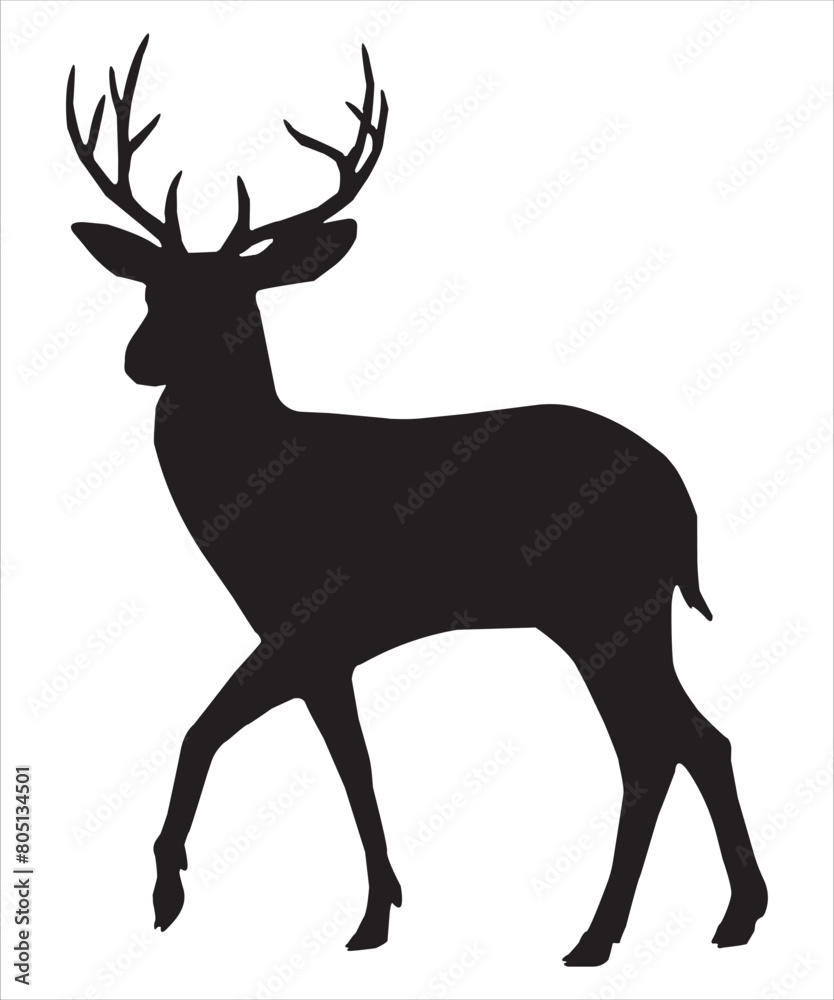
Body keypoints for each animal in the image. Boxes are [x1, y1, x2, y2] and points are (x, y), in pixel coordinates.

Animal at [67, 36, 768, 967]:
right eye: (151, 288)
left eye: (232, 298)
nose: (139, 359)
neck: (256, 491)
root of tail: (683, 501)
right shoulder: (321, 649)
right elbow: (352, 765)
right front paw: (377, 915)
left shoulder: (310, 618)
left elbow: (203, 731)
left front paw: (168, 893)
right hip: (631, 612)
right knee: (698, 737)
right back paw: (731, 918)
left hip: (604, 605)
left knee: (652, 749)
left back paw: (597, 937)